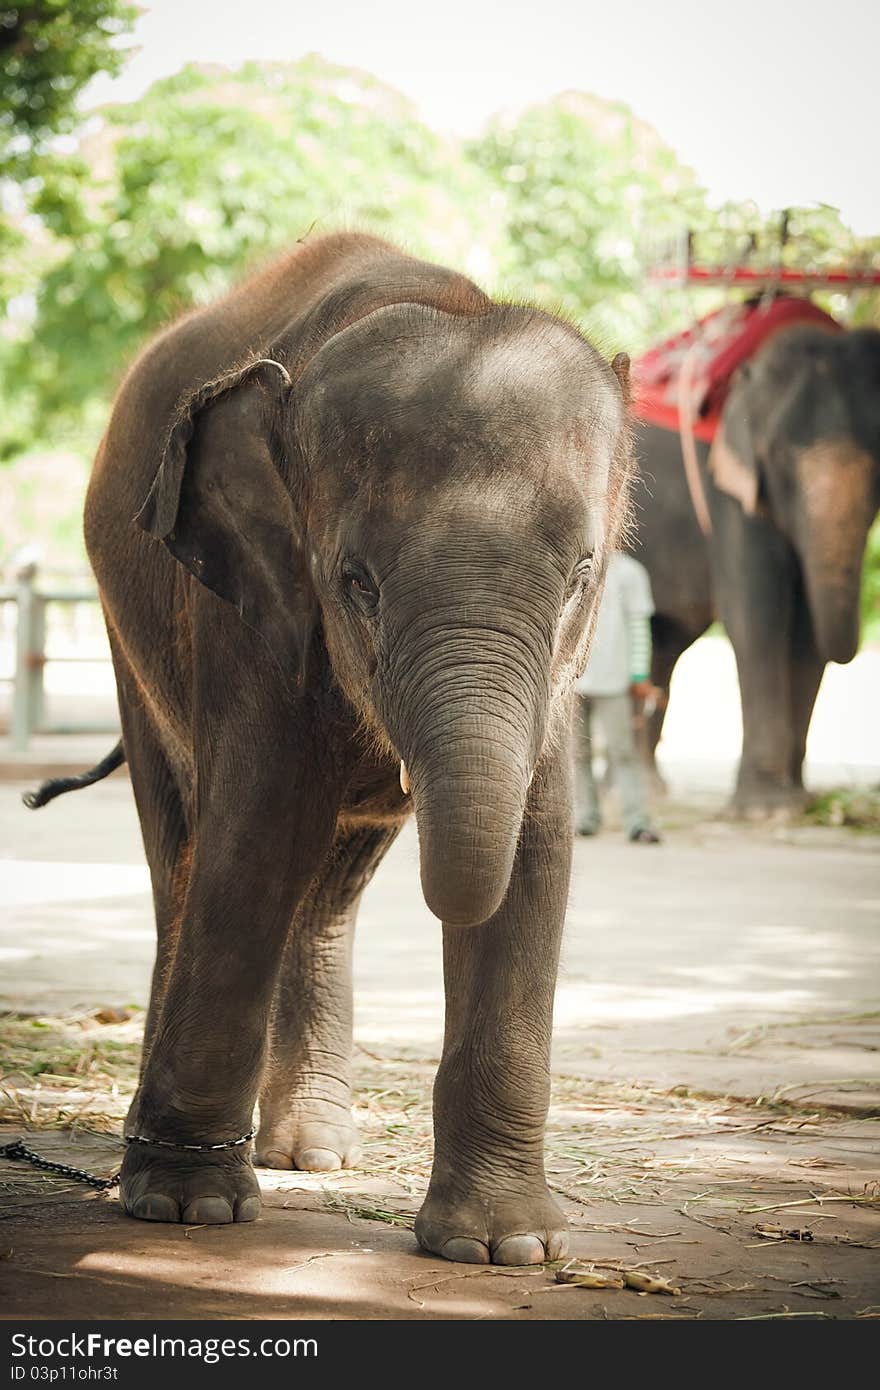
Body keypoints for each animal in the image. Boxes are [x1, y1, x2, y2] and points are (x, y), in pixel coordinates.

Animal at [82, 233, 631, 1267]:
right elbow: (258, 832)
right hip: (128, 642)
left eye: (583, 575)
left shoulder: (559, 682)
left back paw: (313, 1152)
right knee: (184, 857)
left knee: (329, 889)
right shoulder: (247, 603)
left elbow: (538, 855)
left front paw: (502, 1249)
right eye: (356, 583)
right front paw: (185, 1205)